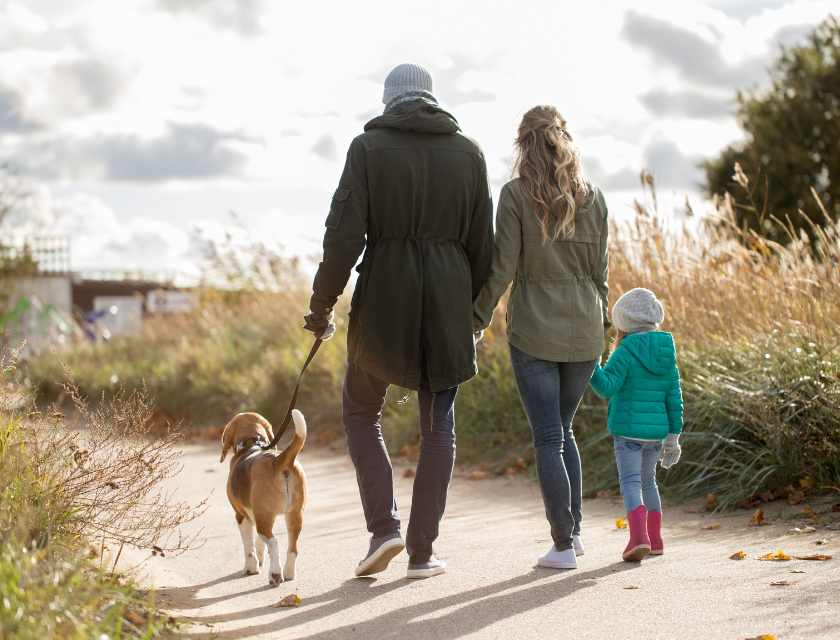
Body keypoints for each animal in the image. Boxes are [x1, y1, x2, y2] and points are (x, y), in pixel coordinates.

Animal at [218, 410, 306, 584]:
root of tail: (279, 460)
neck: (252, 443)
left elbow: (248, 546)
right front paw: (259, 559)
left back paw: (275, 574)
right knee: (292, 548)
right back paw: (288, 573)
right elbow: (258, 542)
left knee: (274, 542)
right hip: (293, 516)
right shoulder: (264, 516)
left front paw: (251, 568)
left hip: (263, 520)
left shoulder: (241, 516)